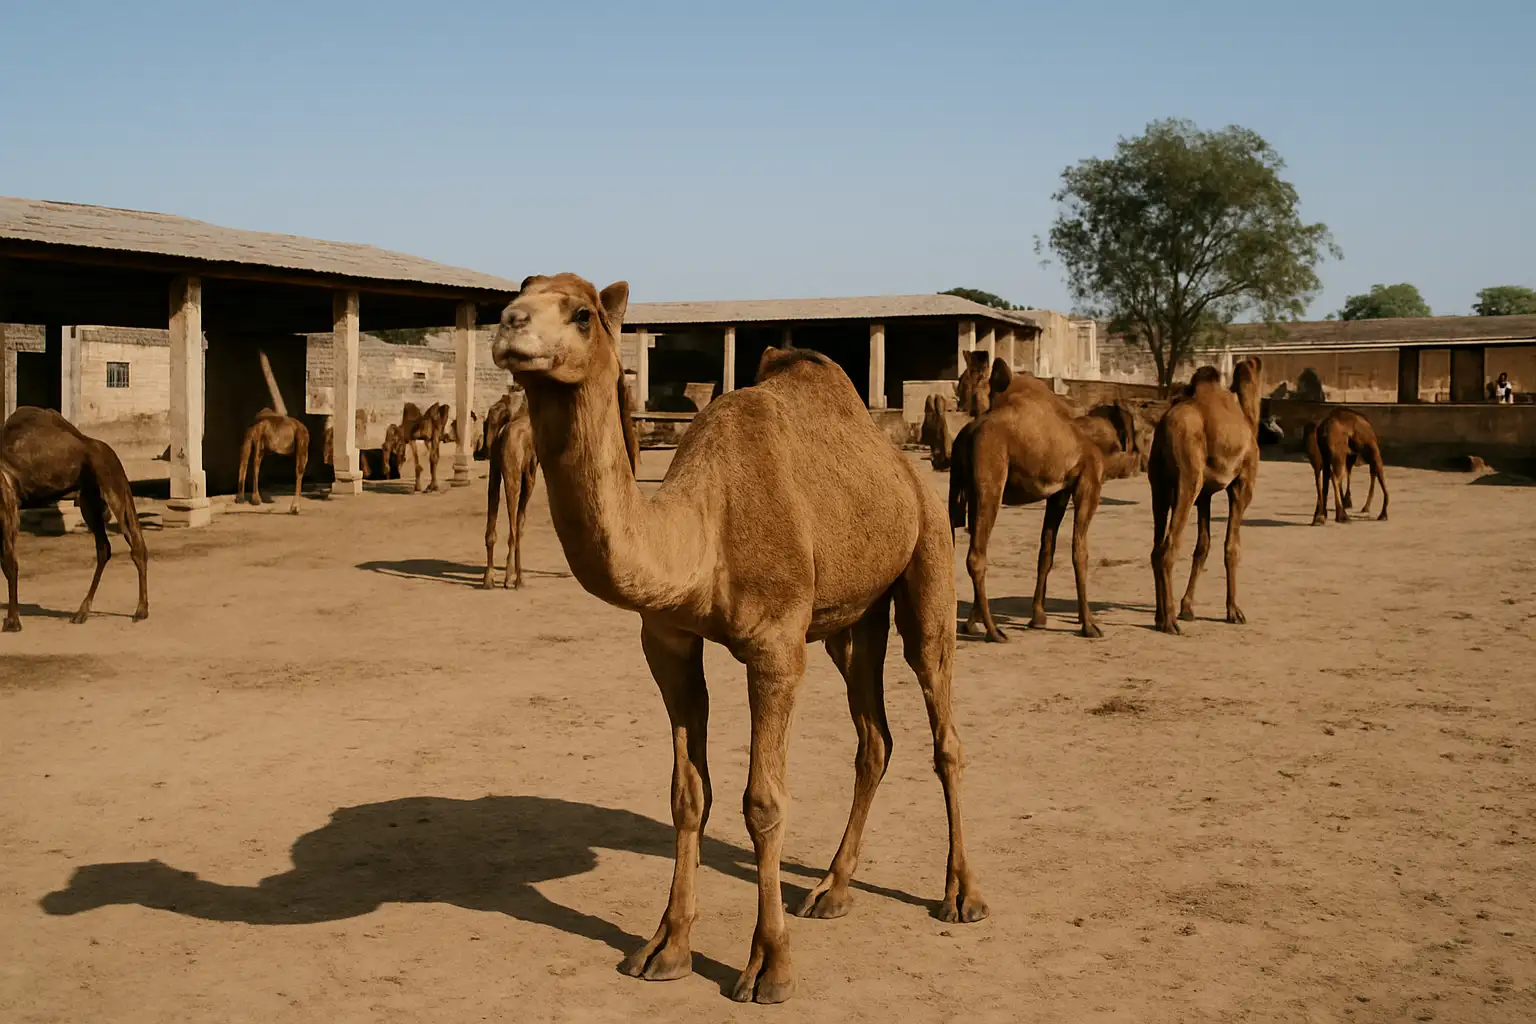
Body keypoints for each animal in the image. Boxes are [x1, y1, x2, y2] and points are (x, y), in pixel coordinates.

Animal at [0, 407, 149, 632]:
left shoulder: (7, 502)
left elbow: (9, 563)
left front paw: (13, 622)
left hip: (113, 483)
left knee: (135, 544)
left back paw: (140, 611)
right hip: (89, 498)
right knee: (104, 548)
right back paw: (81, 613)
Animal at [481, 394, 539, 589]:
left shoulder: (494, 463)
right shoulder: (530, 469)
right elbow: (519, 522)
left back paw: (489, 579)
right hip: (514, 468)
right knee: (514, 526)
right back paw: (516, 579)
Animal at [489, 273, 987, 1004]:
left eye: (581, 314)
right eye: (523, 291)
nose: (508, 323)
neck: (704, 531)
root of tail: (904, 465)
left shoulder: (776, 648)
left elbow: (763, 802)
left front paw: (768, 966)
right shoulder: (667, 643)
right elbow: (687, 794)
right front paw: (665, 949)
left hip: (928, 555)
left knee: (942, 724)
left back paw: (962, 895)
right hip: (850, 619)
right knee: (874, 737)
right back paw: (832, 889)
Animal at [949, 361, 1110, 640]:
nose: (960, 401)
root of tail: (967, 436)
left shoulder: (1059, 491)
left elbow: (1046, 550)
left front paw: (1038, 617)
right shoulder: (1089, 482)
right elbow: (1080, 551)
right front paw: (1089, 624)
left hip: (962, 483)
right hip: (991, 479)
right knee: (976, 556)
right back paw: (994, 631)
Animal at [1148, 359, 1264, 634]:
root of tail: (1165, 426)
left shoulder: (1205, 495)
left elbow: (1203, 546)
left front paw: (1188, 608)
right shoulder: (1242, 484)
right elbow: (1231, 547)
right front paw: (1234, 611)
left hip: (1158, 483)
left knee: (1156, 548)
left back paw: (1159, 617)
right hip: (1188, 477)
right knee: (1169, 546)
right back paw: (1170, 622)